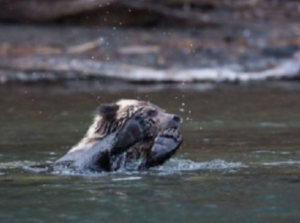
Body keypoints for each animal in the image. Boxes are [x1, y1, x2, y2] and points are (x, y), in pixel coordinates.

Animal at [34, 98, 183, 173]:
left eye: (161, 109)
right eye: (152, 111)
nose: (175, 117)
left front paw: (168, 139)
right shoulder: (74, 161)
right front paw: (134, 127)